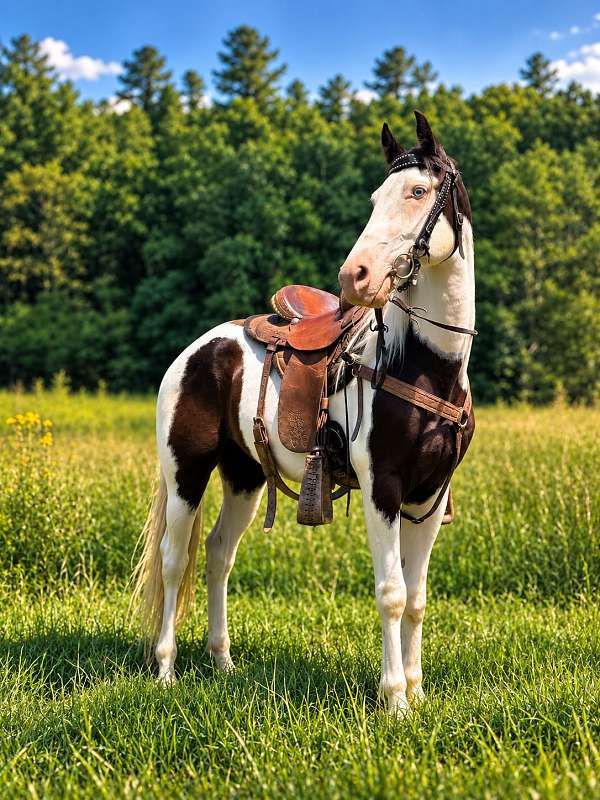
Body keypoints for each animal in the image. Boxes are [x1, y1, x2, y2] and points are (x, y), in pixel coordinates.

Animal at [132, 111, 476, 716]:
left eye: (417, 192)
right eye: (375, 196)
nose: (354, 277)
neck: (424, 366)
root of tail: (198, 349)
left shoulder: (429, 497)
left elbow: (416, 597)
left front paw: (415, 692)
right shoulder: (383, 489)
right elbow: (391, 593)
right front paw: (394, 699)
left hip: (244, 477)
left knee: (218, 554)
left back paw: (223, 662)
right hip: (185, 473)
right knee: (175, 559)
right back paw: (167, 670)